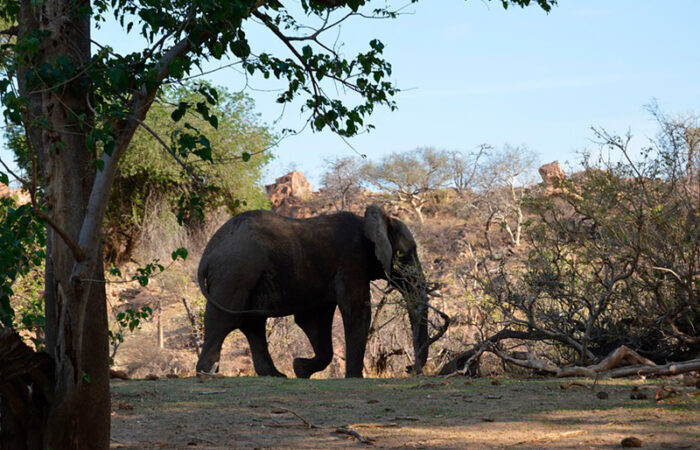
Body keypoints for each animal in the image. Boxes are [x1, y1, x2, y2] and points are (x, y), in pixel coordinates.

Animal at [194, 206, 430, 378]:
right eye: (409, 254)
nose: (409, 368)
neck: (371, 221)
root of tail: (208, 252)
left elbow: (315, 320)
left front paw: (299, 369)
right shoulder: (351, 261)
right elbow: (357, 311)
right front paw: (354, 378)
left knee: (252, 324)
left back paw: (275, 375)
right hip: (234, 272)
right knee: (223, 320)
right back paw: (206, 373)